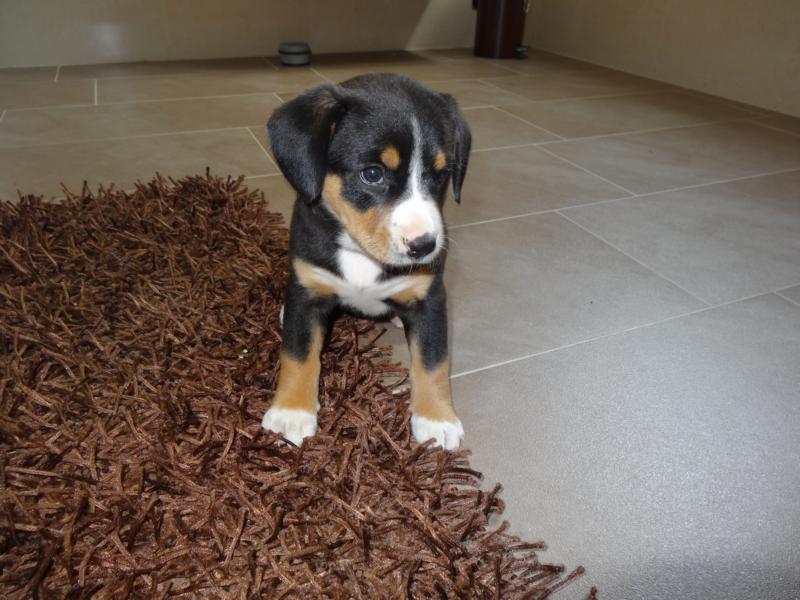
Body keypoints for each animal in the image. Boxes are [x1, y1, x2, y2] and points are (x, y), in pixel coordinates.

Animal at [261, 73, 471, 450]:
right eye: (372, 174)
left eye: (440, 176)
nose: (424, 246)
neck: (361, 254)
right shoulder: (308, 288)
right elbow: (298, 354)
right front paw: (291, 413)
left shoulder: (430, 297)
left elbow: (433, 361)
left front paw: (436, 418)